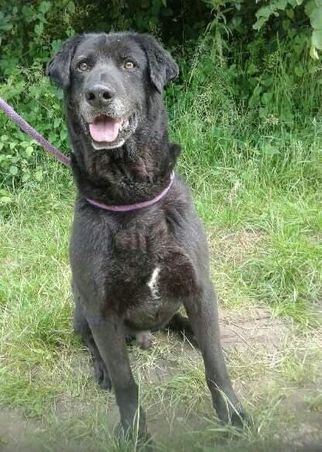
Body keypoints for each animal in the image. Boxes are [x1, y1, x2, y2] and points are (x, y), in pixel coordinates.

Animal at [47, 31, 244, 442]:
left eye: (129, 64)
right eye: (82, 66)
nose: (98, 94)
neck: (132, 197)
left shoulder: (199, 287)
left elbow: (215, 366)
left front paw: (232, 416)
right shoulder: (101, 310)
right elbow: (126, 383)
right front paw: (134, 435)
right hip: (81, 310)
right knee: (92, 345)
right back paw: (102, 368)